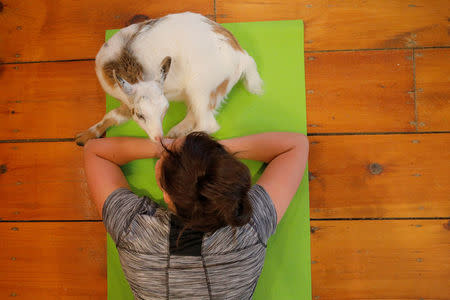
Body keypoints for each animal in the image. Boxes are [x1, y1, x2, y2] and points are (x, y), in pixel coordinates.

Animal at [74, 12, 264, 146]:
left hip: (200, 88)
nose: (159, 138)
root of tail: (242, 56)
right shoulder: (127, 101)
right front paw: (82, 138)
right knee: (196, 113)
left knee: (207, 124)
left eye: (165, 110)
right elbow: (113, 115)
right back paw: (176, 131)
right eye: (140, 115)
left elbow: (113, 115)